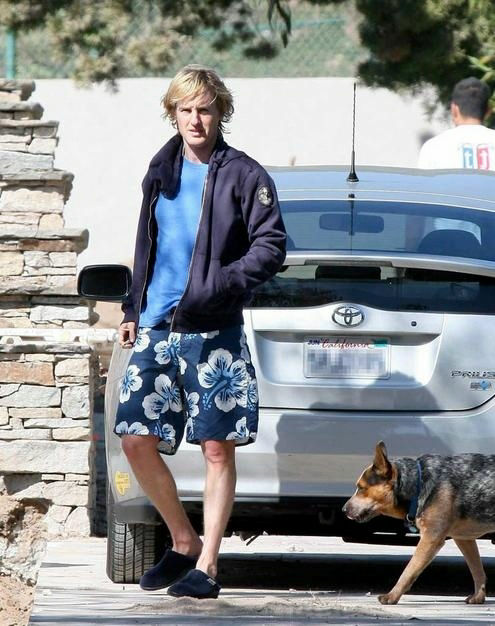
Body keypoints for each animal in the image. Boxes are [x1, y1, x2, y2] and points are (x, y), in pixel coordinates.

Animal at [343, 441, 495, 605]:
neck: (418, 484)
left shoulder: (430, 538)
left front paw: (392, 596)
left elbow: (409, 570)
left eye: (361, 488)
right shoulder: (463, 539)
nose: (343, 510)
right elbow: (476, 568)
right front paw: (478, 596)